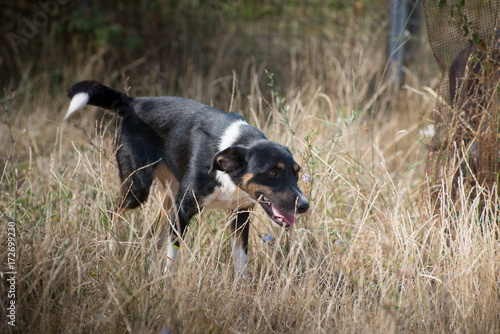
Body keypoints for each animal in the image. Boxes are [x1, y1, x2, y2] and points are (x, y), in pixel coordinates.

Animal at [65, 79, 308, 276]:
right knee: (114, 212)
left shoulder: (239, 214)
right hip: (137, 190)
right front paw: (165, 286)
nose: (304, 206)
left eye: (297, 172)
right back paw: (111, 248)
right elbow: (172, 256)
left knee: (152, 233)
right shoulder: (183, 210)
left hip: (168, 198)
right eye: (272, 172)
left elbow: (241, 261)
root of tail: (133, 102)